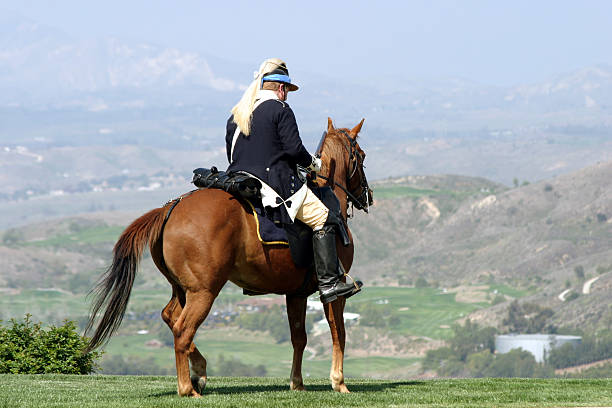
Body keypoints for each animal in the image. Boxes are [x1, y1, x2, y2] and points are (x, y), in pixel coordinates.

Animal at [85, 116, 372, 396]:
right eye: (361, 155)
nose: (367, 197)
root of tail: (171, 208)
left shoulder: (296, 294)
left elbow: (299, 338)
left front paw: (297, 383)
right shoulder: (334, 293)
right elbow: (339, 332)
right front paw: (339, 382)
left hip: (182, 288)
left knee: (170, 316)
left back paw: (199, 372)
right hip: (204, 291)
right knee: (182, 330)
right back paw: (188, 388)